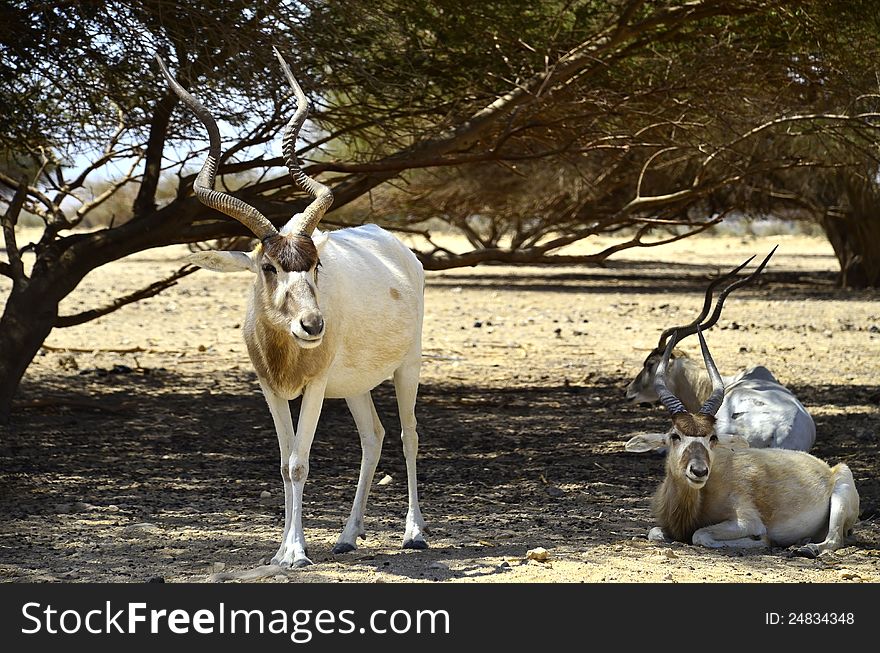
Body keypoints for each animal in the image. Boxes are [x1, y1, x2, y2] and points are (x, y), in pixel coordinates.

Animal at [161, 51, 430, 564]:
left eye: (316, 264)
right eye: (268, 266)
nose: (313, 325)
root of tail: (399, 249)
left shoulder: (315, 387)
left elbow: (301, 462)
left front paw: (296, 552)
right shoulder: (271, 389)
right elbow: (286, 464)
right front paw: (282, 551)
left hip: (406, 366)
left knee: (409, 434)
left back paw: (414, 533)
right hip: (354, 385)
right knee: (374, 436)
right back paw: (347, 536)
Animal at [624, 326, 860, 556]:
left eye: (713, 437)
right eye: (675, 435)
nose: (699, 471)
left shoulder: (747, 522)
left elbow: (700, 535)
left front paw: (762, 541)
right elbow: (654, 532)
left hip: (841, 493)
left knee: (834, 539)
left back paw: (807, 548)